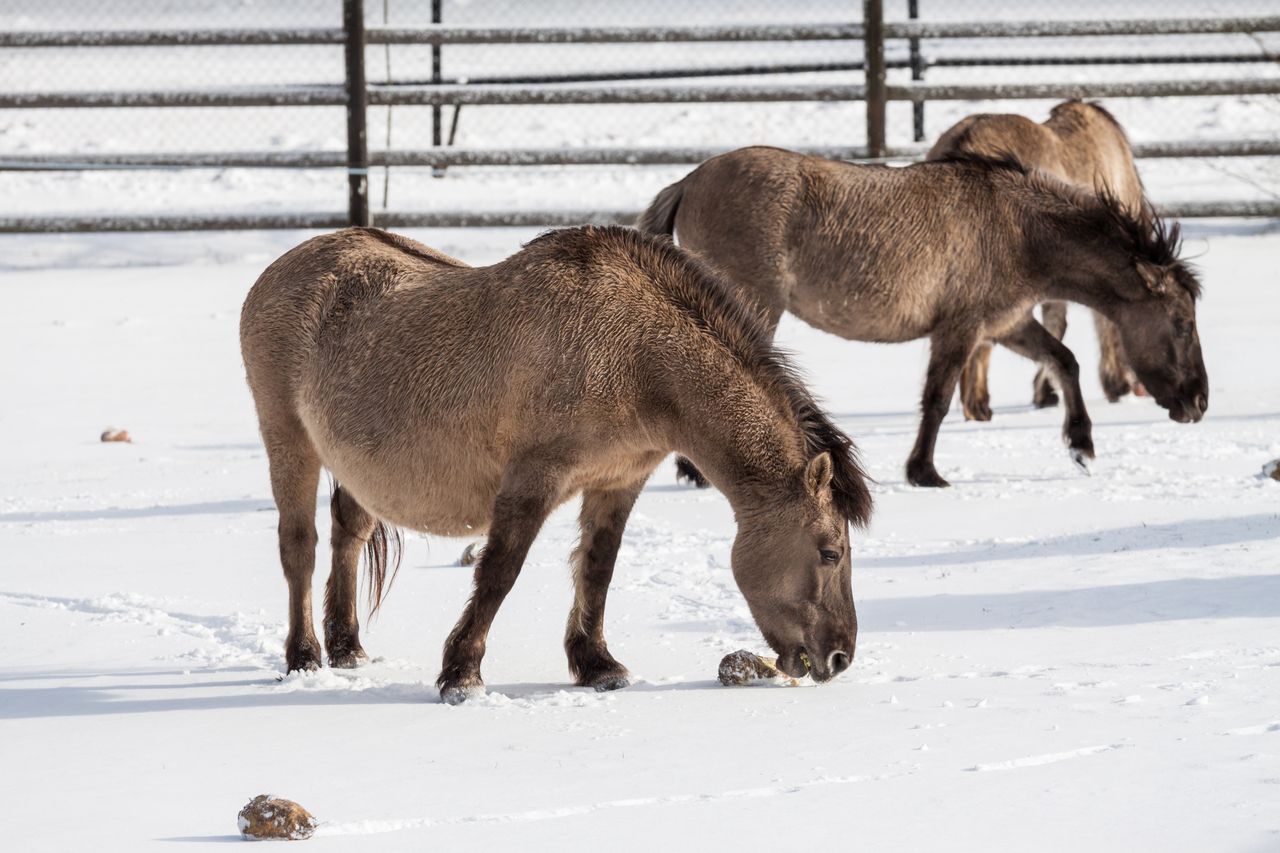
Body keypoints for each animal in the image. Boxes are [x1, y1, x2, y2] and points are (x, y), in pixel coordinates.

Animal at [240, 222, 875, 701]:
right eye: (830, 551)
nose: (840, 657)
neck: (637, 355)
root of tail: (280, 268)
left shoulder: (619, 482)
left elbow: (597, 570)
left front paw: (597, 665)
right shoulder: (533, 479)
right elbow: (500, 572)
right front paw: (461, 674)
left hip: (354, 467)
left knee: (348, 533)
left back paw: (347, 648)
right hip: (288, 440)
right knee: (299, 547)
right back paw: (304, 656)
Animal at [645, 147, 1203, 484]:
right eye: (1182, 322)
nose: (1198, 404)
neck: (1019, 229)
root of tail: (690, 181)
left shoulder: (1005, 325)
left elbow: (1064, 361)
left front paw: (1081, 445)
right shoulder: (961, 329)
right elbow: (936, 399)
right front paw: (924, 472)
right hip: (752, 305)